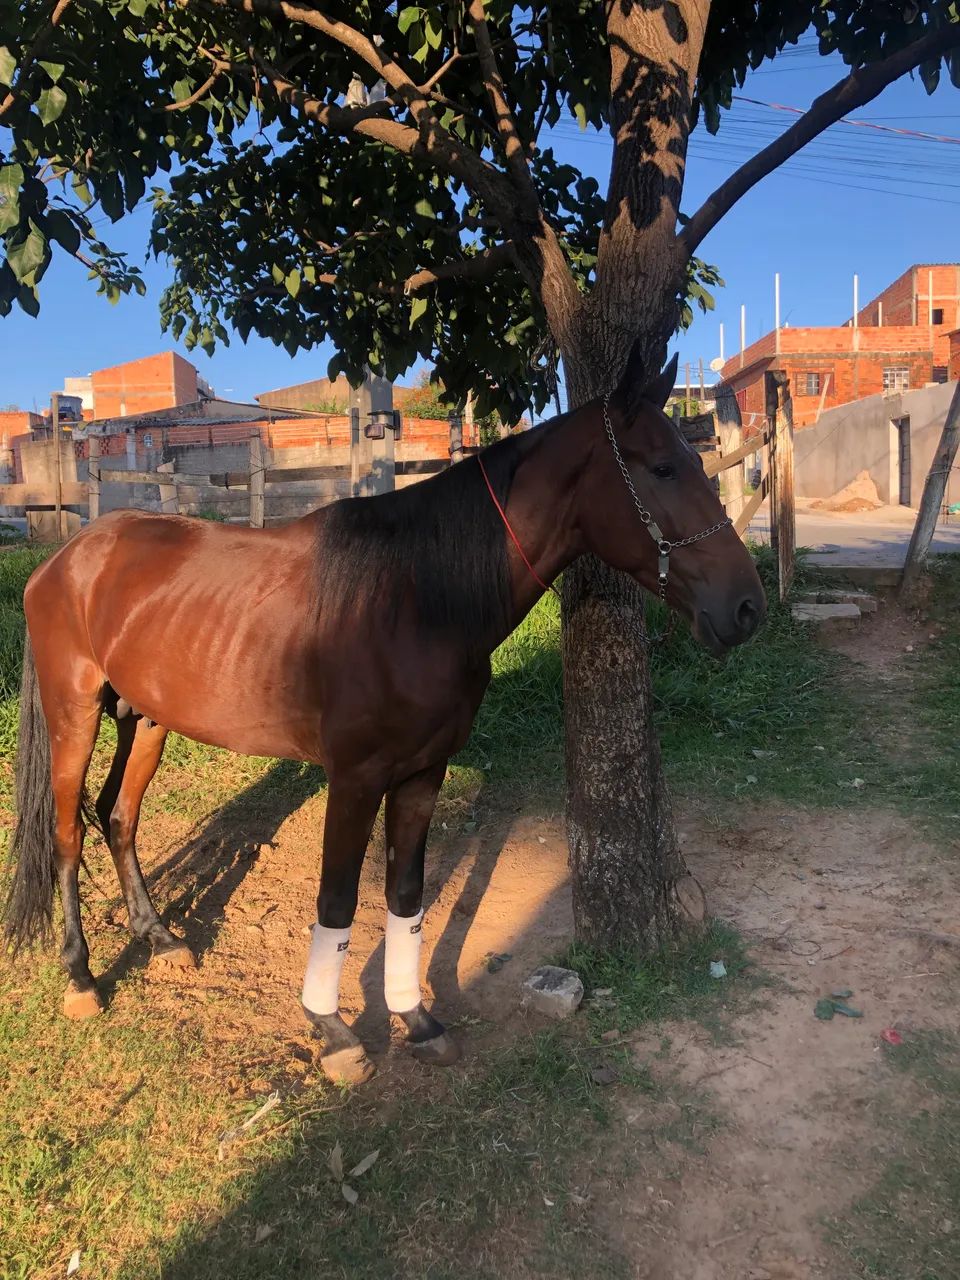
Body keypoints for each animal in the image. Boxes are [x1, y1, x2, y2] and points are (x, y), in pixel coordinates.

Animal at [3, 351, 765, 1083]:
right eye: (663, 466)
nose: (747, 607)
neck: (413, 596)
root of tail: (65, 559)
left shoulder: (423, 773)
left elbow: (405, 897)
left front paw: (415, 1018)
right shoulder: (355, 778)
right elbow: (338, 903)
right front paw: (334, 1031)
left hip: (148, 721)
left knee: (118, 817)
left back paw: (158, 938)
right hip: (75, 716)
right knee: (69, 833)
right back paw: (80, 977)